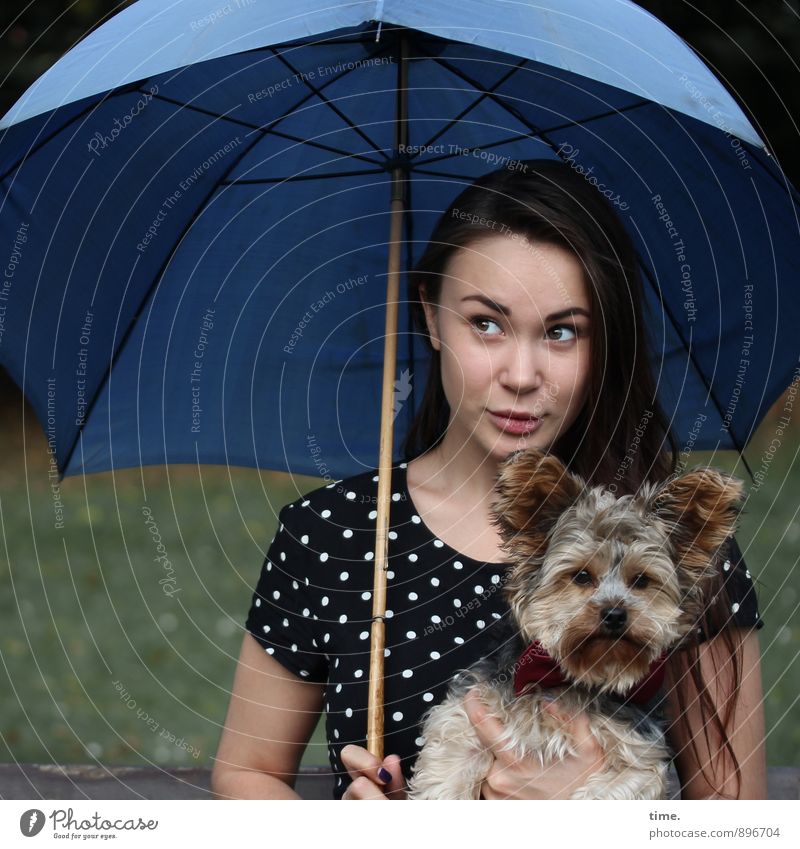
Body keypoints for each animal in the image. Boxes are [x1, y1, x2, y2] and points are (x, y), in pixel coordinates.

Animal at [406, 448, 744, 800]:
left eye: (641, 580)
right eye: (581, 576)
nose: (614, 614)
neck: (572, 680)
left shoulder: (639, 759)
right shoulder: (466, 716)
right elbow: (448, 771)